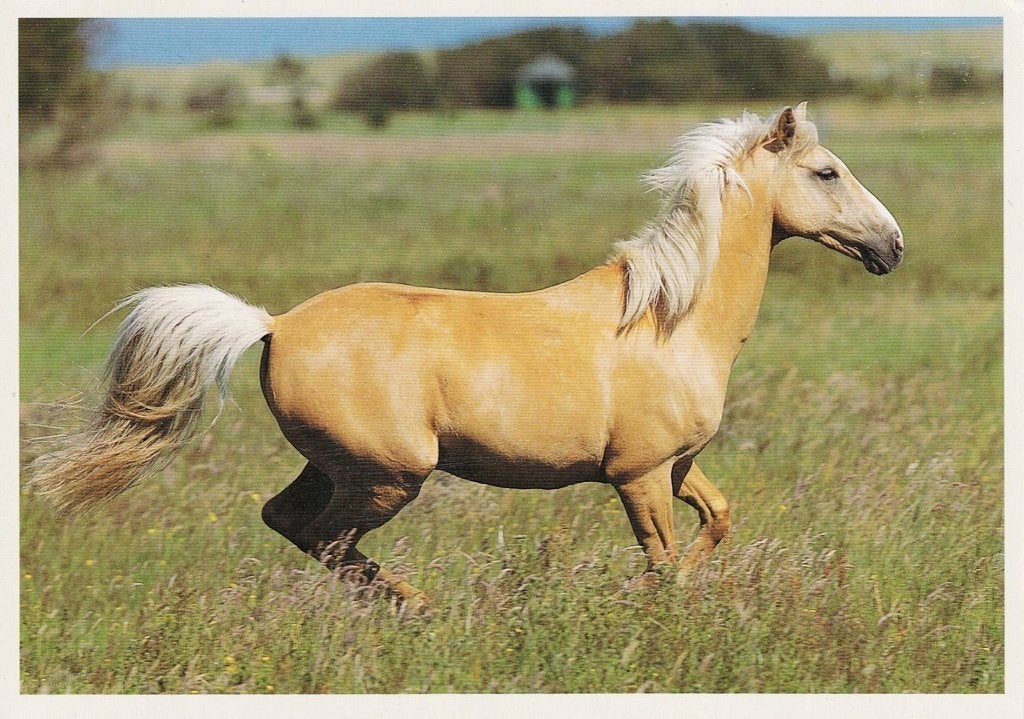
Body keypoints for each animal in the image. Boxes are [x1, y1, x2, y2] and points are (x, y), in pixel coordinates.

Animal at [29, 103, 903, 608]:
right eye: (826, 171)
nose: (892, 246)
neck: (670, 320)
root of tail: (273, 323)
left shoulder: (678, 465)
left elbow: (717, 519)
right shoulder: (640, 473)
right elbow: (659, 561)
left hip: (337, 465)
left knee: (287, 520)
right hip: (389, 474)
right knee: (329, 539)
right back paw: (418, 609)